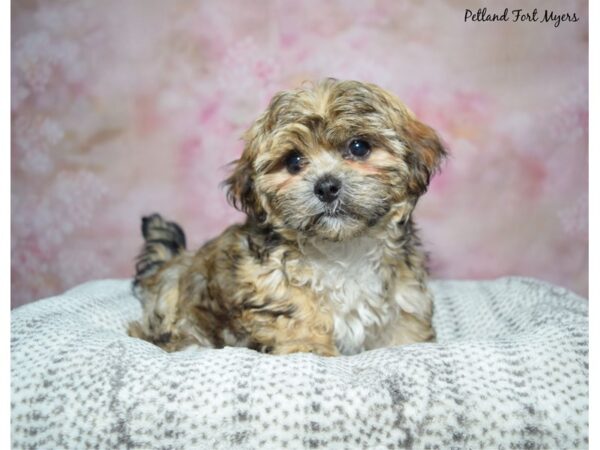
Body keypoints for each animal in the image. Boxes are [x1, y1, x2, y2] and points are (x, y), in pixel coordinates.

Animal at [127, 79, 446, 356]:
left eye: (359, 147)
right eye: (293, 161)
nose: (326, 186)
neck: (342, 249)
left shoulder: (404, 296)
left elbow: (404, 333)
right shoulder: (272, 291)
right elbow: (298, 317)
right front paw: (310, 346)